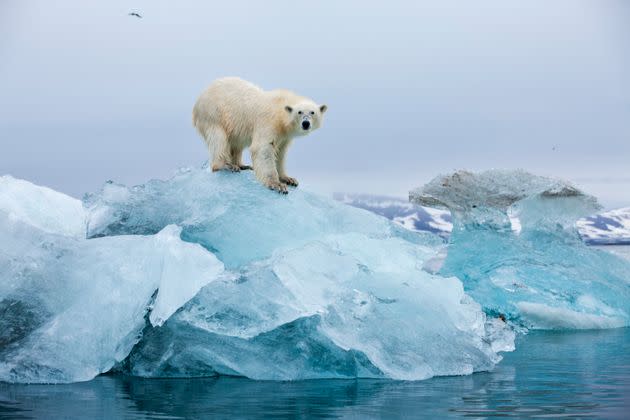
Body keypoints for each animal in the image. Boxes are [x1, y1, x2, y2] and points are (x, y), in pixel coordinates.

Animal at [194, 77, 328, 194]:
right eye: (299, 112)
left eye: (312, 112)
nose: (306, 123)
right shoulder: (269, 121)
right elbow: (263, 149)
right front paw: (277, 185)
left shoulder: (284, 136)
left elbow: (280, 153)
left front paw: (288, 179)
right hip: (214, 113)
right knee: (218, 138)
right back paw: (226, 165)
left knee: (236, 144)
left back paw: (242, 165)